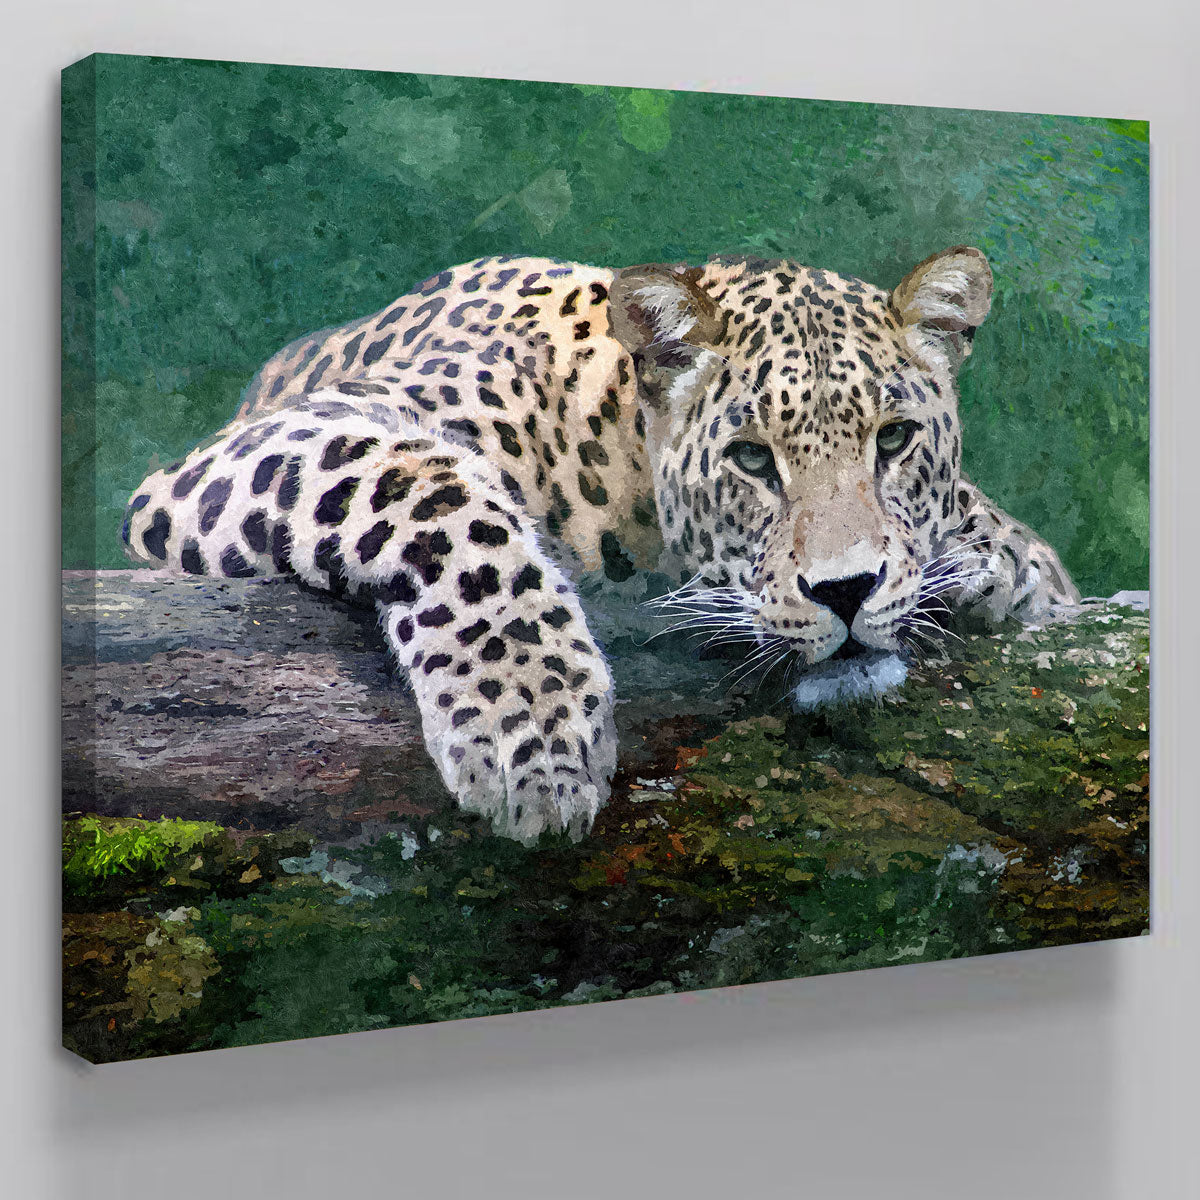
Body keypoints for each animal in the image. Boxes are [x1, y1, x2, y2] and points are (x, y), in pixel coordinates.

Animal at [122, 246, 1079, 841]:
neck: (616, 452)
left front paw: (1000, 562)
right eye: (751, 458)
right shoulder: (275, 442)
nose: (846, 591)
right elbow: (445, 497)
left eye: (894, 440)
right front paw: (530, 731)